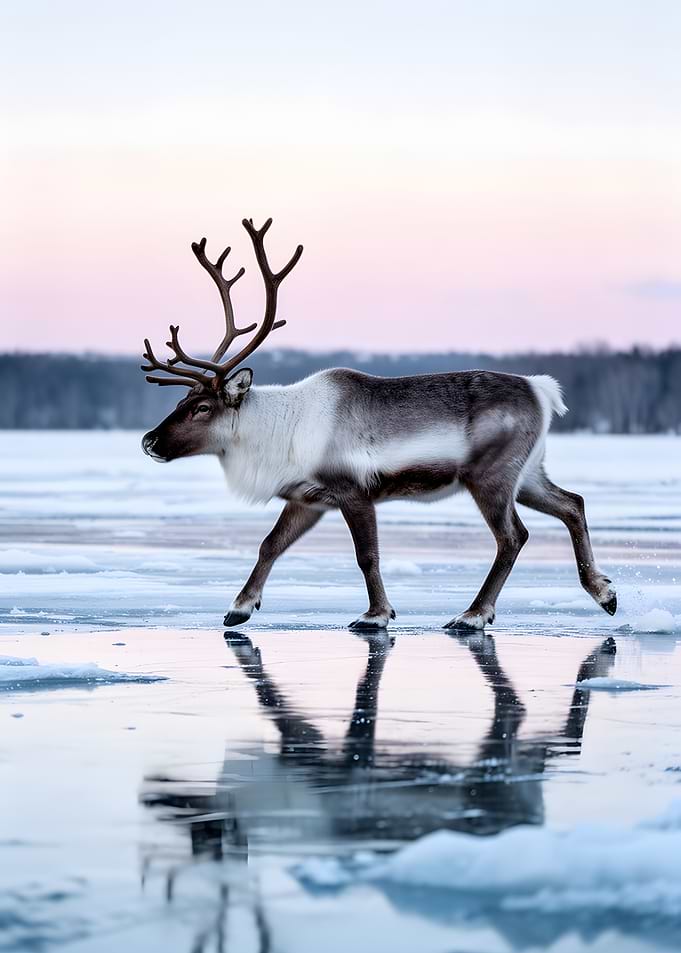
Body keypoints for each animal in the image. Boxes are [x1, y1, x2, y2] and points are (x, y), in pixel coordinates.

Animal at [141, 217, 617, 631]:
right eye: (183, 399)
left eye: (203, 407)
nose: (149, 440)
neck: (276, 434)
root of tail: (541, 390)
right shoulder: (308, 498)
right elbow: (269, 544)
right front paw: (239, 608)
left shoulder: (353, 490)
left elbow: (366, 556)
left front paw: (376, 615)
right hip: (528, 473)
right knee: (573, 503)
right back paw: (605, 593)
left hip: (491, 477)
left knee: (513, 536)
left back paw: (473, 615)